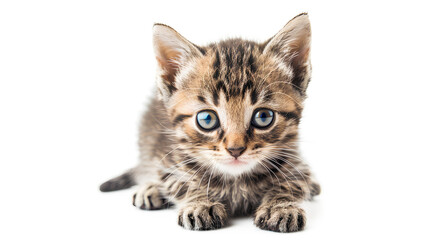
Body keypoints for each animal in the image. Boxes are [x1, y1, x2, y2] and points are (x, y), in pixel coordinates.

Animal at [100, 13, 320, 232]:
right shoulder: (169, 157)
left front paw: (281, 206)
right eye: (207, 119)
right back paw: (149, 188)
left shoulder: (294, 158)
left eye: (263, 117)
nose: (235, 150)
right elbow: (180, 182)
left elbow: (294, 182)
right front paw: (200, 203)